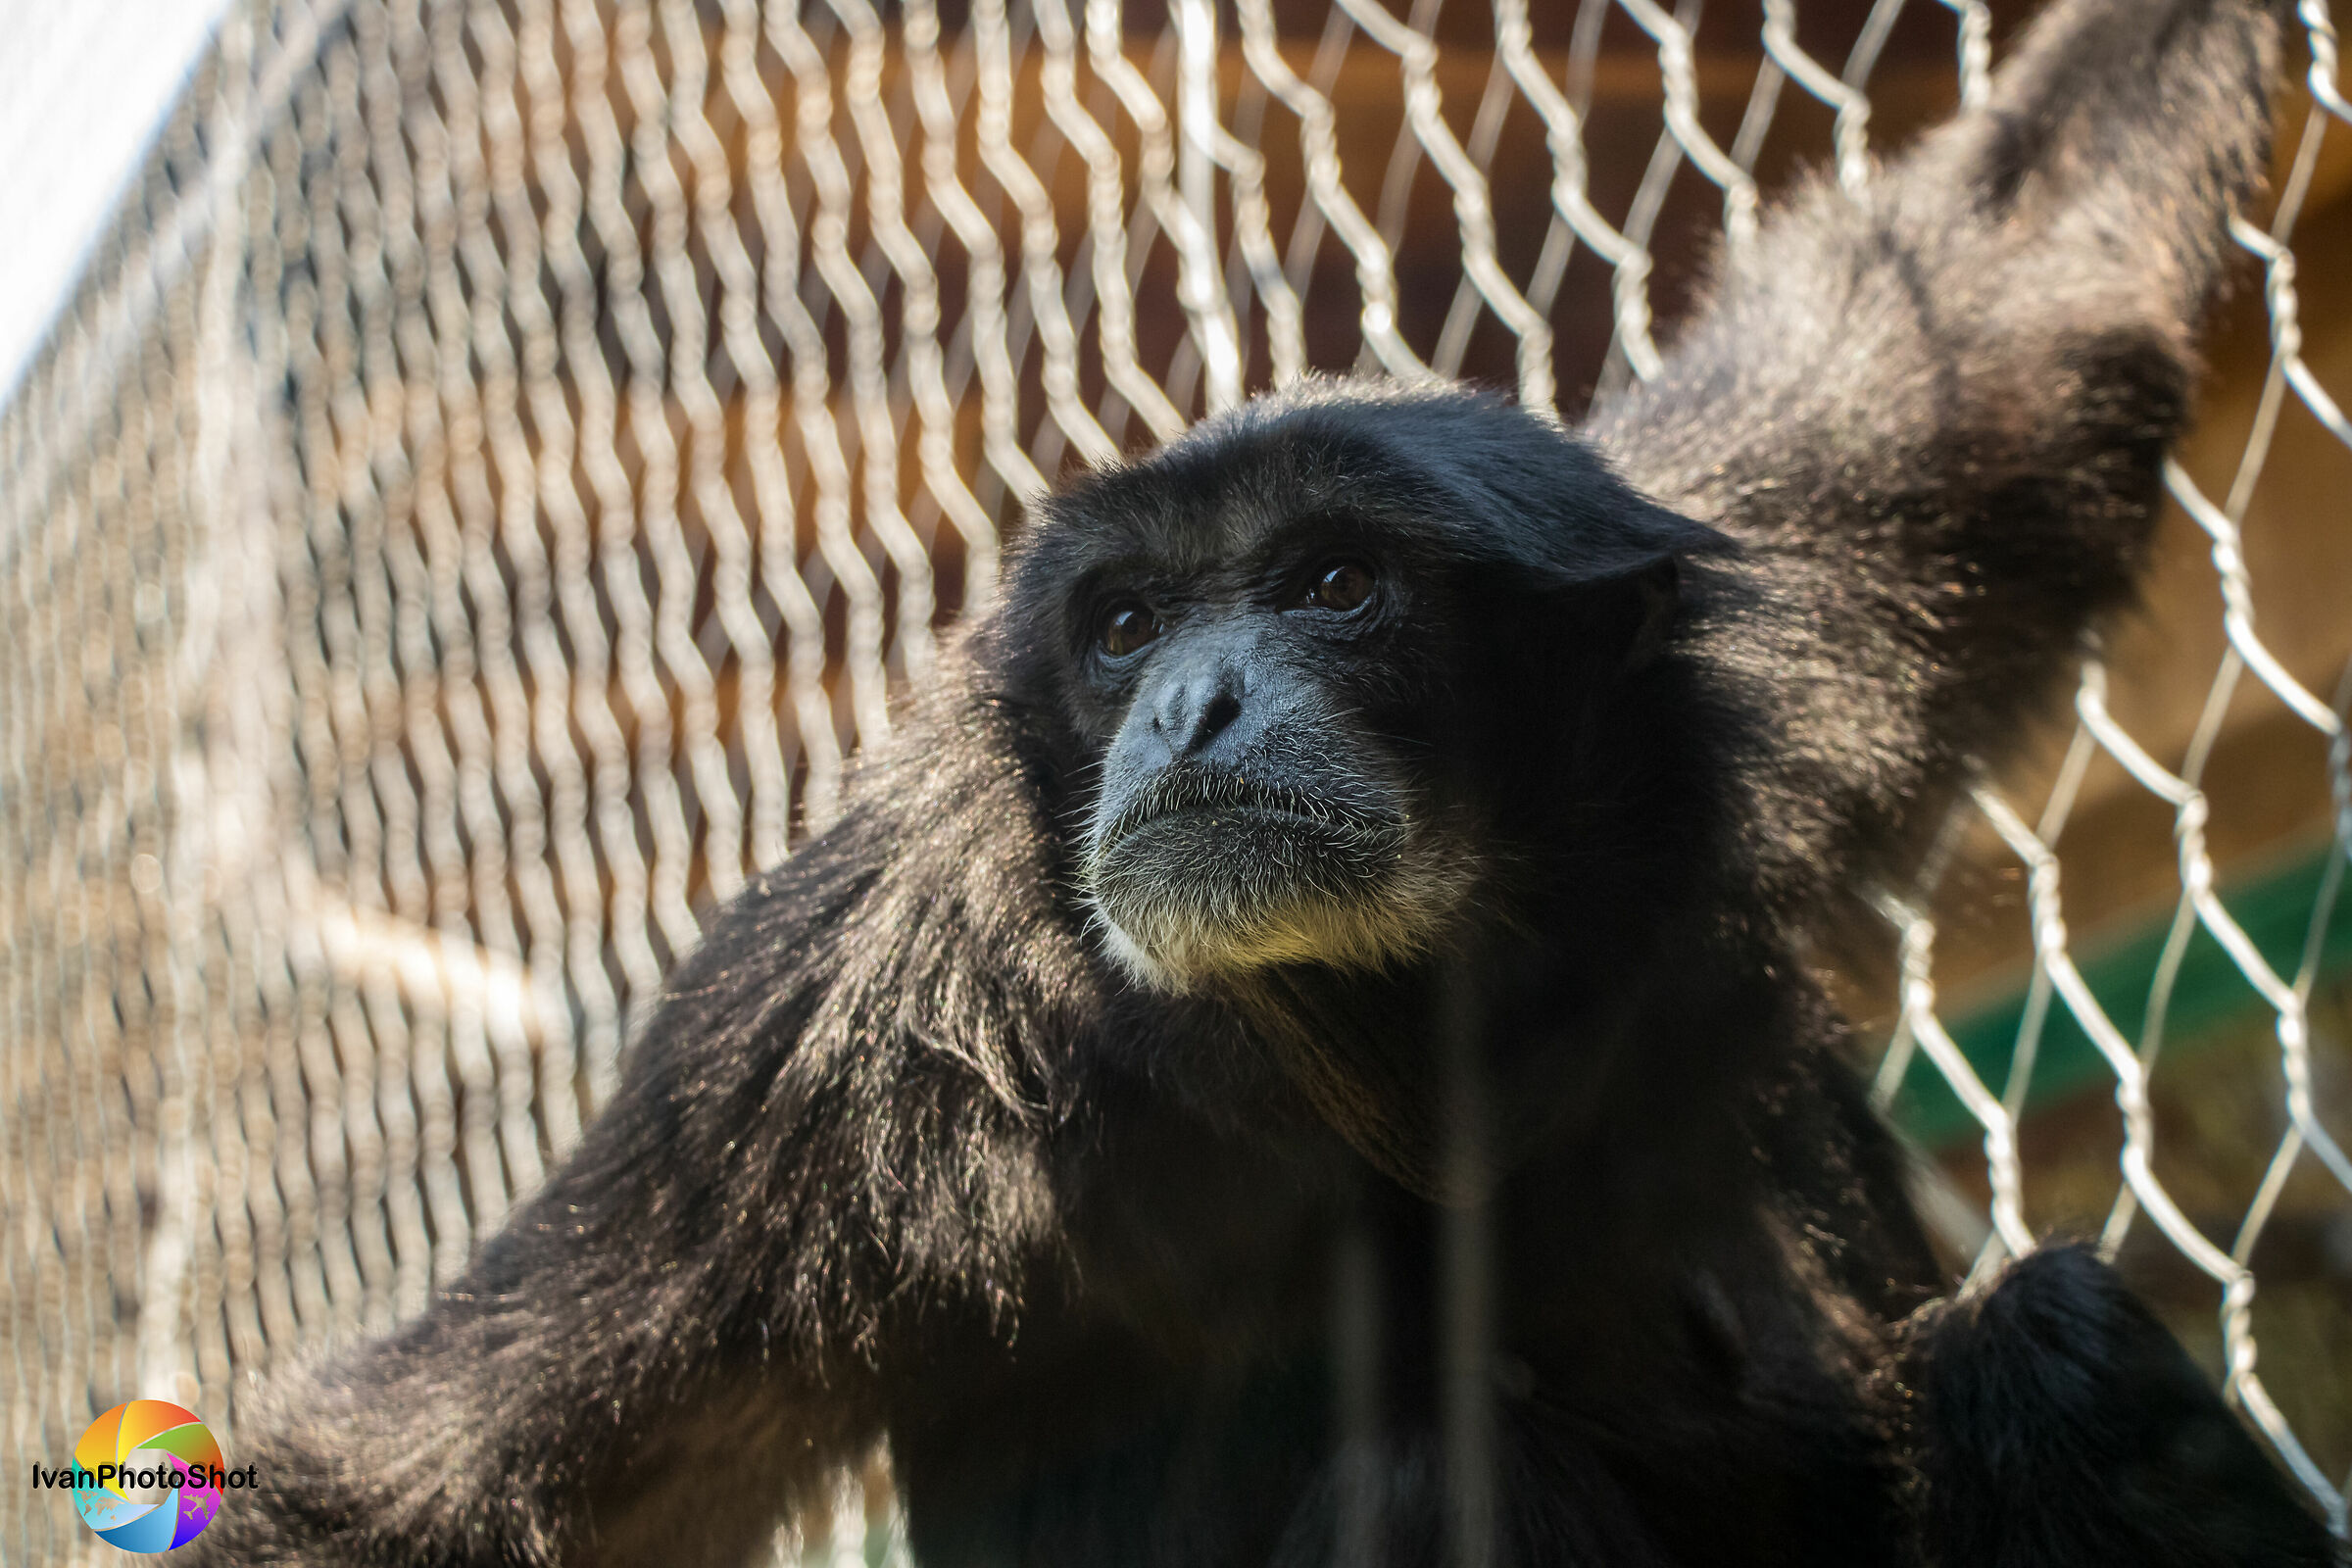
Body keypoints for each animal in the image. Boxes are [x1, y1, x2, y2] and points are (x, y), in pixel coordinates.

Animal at [186, 0, 2339, 1562]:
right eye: (1128, 625)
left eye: (1329, 585)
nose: (1194, 706)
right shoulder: (822, 1044)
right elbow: (421, 1494)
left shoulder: (1788, 632)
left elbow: (2016, 297)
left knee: (2044, 1351)